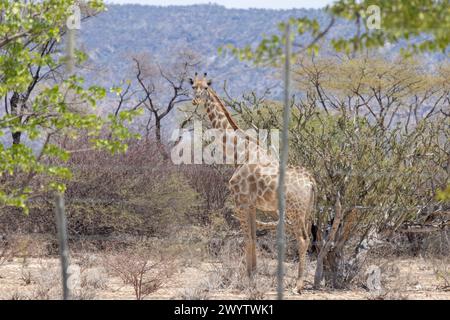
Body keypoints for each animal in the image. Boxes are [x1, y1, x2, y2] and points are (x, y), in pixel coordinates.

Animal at [189, 72, 316, 292]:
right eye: (192, 86)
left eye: (206, 87)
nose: (195, 100)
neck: (239, 152)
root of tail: (311, 181)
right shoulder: (252, 204)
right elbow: (254, 237)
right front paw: (253, 274)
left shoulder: (240, 201)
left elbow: (246, 238)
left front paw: (247, 278)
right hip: (307, 212)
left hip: (295, 211)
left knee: (302, 239)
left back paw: (297, 285)